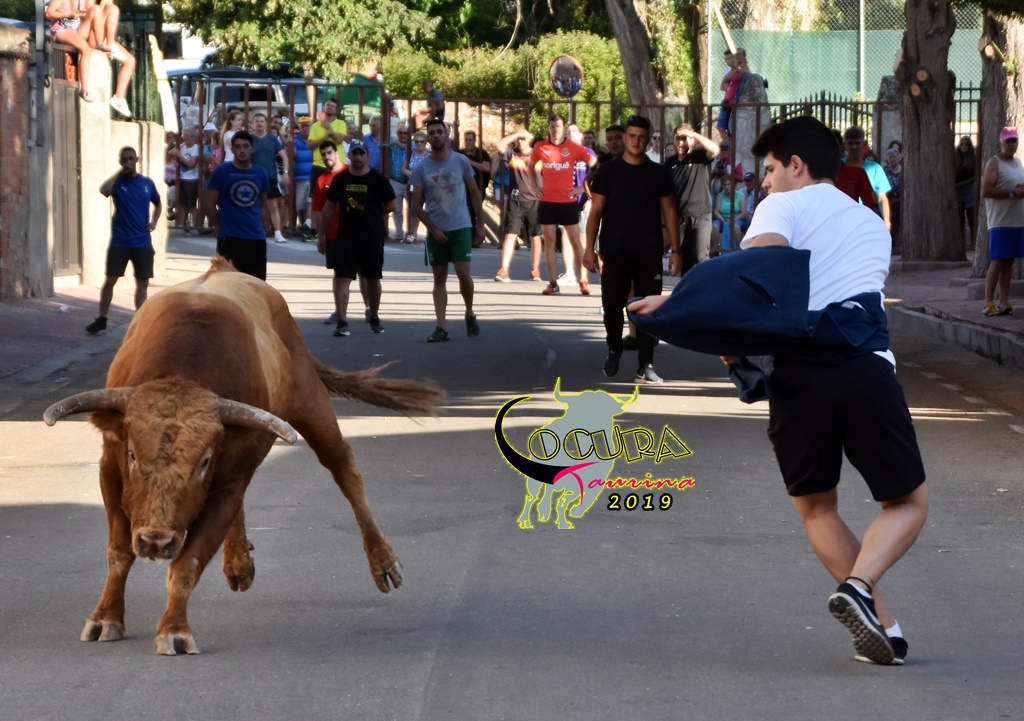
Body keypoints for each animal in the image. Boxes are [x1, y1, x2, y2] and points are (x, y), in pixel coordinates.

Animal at [43, 257, 442, 655]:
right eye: (131, 454)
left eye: (204, 462)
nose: (156, 541)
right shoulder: (110, 472)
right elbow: (119, 553)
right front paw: (106, 617)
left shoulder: (225, 487)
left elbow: (187, 563)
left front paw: (174, 630)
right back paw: (238, 563)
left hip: (312, 406)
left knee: (343, 468)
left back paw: (383, 562)